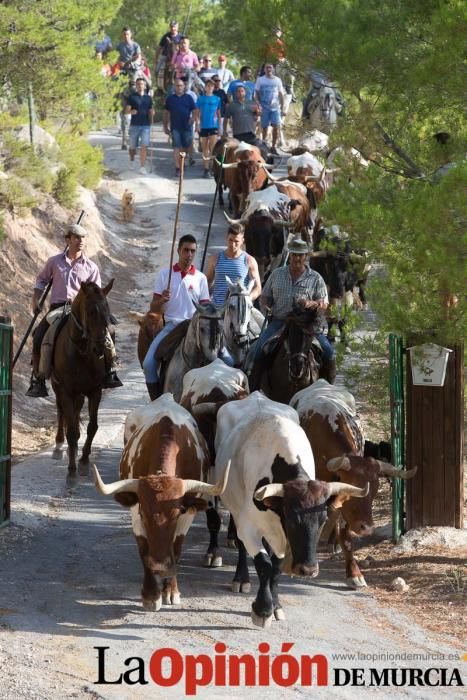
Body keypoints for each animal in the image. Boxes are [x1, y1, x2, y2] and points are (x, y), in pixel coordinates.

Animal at [51, 280, 115, 476]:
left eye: (107, 311)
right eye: (91, 311)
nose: (101, 346)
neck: (81, 352)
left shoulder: (95, 391)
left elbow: (92, 426)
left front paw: (84, 460)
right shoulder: (66, 391)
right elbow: (71, 430)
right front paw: (72, 468)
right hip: (58, 387)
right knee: (61, 412)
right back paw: (59, 445)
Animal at [93, 394, 229, 612]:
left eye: (177, 513)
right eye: (143, 514)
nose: (159, 564)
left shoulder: (187, 514)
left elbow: (176, 548)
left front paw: (171, 590)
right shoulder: (135, 510)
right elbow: (143, 548)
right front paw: (151, 595)